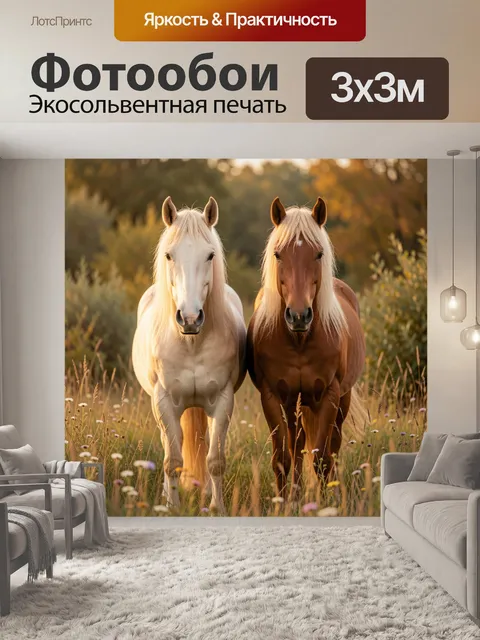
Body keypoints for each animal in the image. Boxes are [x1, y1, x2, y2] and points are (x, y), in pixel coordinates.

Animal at [132, 196, 247, 513]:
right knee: (168, 444)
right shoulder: (164, 402)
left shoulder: (223, 401)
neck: (191, 342)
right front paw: (172, 507)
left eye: (210, 255)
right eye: (169, 255)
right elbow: (172, 460)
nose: (190, 318)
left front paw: (218, 508)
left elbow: (215, 460)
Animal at [246, 197, 366, 503]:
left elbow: (322, 459)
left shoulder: (330, 395)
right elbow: (283, 458)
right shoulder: (272, 396)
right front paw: (284, 503)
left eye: (319, 254)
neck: (298, 341)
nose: (298, 316)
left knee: (332, 448)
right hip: (295, 404)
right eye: (278, 254)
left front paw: (324, 502)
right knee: (297, 447)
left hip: (340, 400)